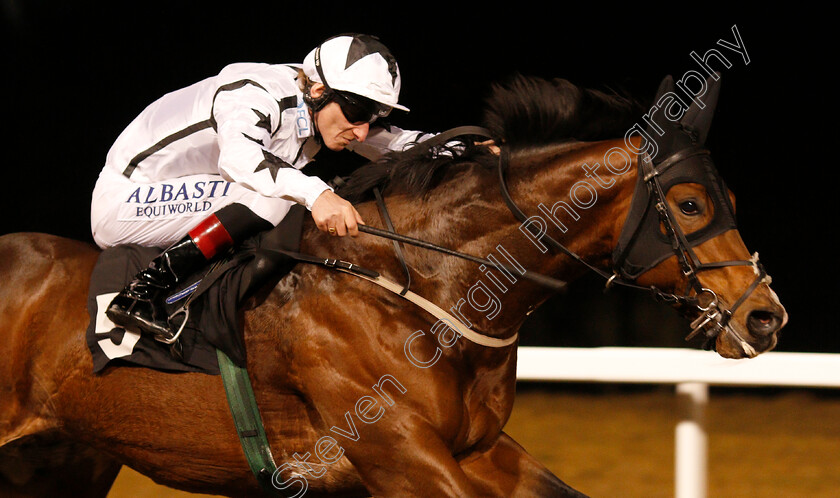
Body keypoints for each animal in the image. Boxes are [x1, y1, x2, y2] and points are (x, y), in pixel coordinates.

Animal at [0, 72, 788, 496]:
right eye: (690, 204)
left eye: (730, 200)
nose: (765, 317)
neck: (428, 290)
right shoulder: (401, 459)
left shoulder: (478, 452)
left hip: (63, 459)